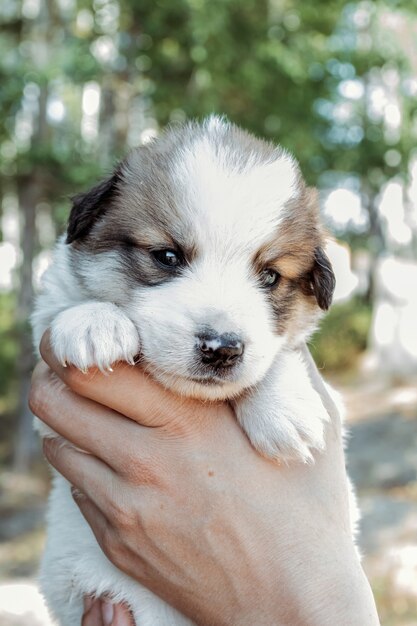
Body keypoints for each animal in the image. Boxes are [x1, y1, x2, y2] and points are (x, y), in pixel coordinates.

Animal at [32, 114, 354, 620]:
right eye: (167, 256)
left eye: (270, 277)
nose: (221, 348)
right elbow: (63, 308)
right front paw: (94, 321)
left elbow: (283, 352)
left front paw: (285, 408)